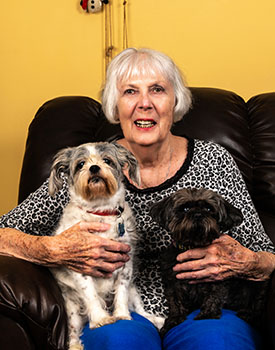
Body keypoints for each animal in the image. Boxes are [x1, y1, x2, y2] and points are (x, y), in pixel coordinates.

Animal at [151, 189, 270, 336]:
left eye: (208, 209)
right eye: (185, 209)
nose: (198, 214)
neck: (194, 244)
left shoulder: (216, 276)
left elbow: (213, 296)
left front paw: (208, 314)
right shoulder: (172, 282)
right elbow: (175, 302)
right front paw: (174, 320)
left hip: (257, 281)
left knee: (256, 304)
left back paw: (247, 314)